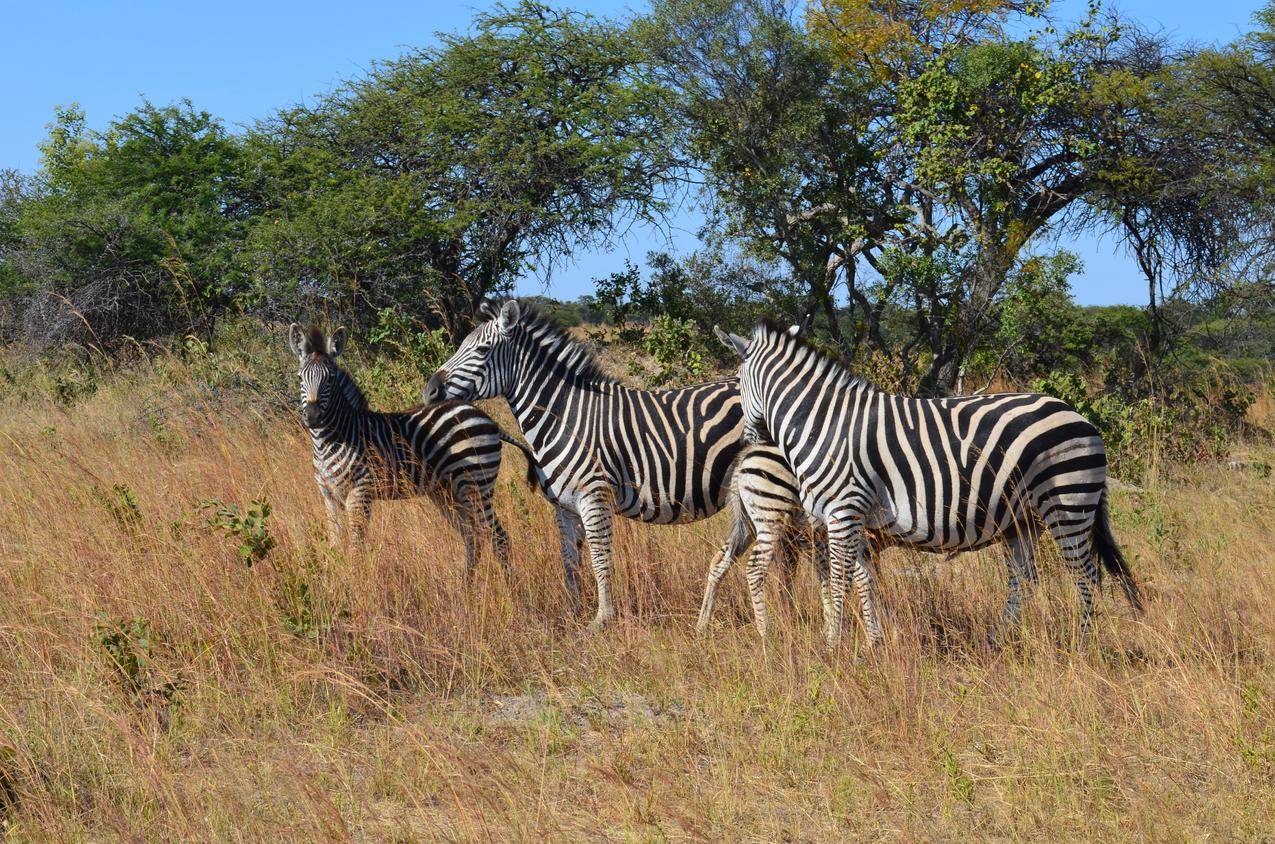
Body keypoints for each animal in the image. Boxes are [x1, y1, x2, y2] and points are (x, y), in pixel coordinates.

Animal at [286, 323, 535, 576]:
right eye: (300, 378)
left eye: (330, 379)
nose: (312, 417)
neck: (335, 437)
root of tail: (485, 416)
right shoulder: (328, 495)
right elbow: (335, 545)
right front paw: (338, 577)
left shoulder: (359, 491)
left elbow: (357, 549)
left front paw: (358, 582)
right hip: (449, 490)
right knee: (473, 537)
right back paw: (465, 583)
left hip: (476, 484)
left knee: (498, 537)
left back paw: (510, 585)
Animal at [428, 300, 765, 632]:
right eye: (461, 345)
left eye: (482, 350)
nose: (429, 390)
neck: (564, 417)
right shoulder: (564, 506)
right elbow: (570, 559)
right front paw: (571, 613)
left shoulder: (594, 497)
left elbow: (599, 558)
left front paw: (602, 619)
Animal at [719, 321, 1147, 650]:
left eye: (737, 383)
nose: (750, 444)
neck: (821, 424)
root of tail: (1082, 418)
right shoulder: (856, 520)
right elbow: (864, 581)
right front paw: (873, 644)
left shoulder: (843, 510)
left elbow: (840, 581)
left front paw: (833, 646)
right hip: (1023, 519)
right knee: (1024, 581)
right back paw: (997, 641)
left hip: (1068, 503)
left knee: (1086, 576)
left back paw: (1083, 646)